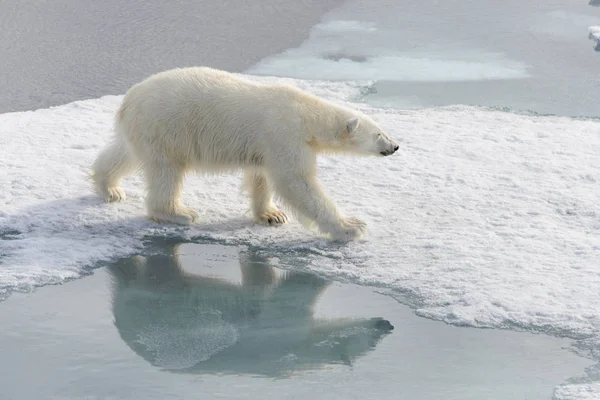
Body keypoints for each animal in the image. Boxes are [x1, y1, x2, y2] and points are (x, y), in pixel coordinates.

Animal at [91, 67, 396, 239]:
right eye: (379, 134)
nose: (395, 147)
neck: (305, 113)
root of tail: (128, 100)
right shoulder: (284, 134)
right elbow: (297, 182)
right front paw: (351, 227)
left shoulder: (266, 145)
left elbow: (261, 176)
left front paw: (272, 215)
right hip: (166, 127)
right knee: (167, 172)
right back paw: (178, 213)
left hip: (144, 131)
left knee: (124, 154)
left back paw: (110, 188)